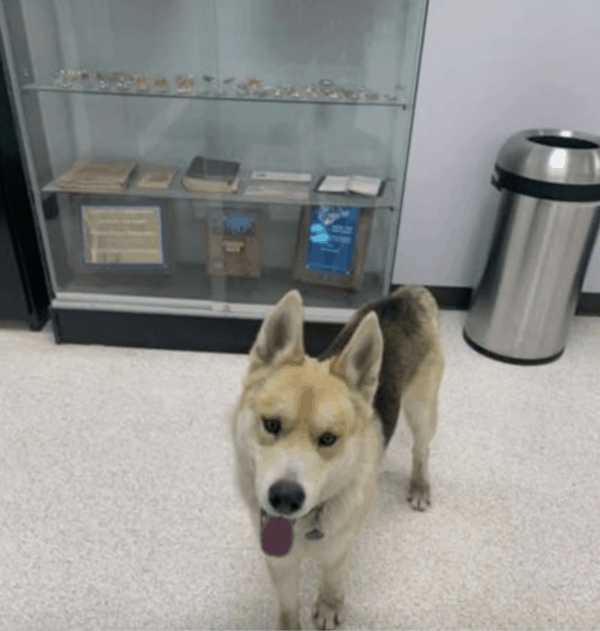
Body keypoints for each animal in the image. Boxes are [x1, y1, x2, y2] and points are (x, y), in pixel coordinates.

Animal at [232, 288, 442, 631]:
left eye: (329, 439)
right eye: (271, 424)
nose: (285, 498)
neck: (305, 523)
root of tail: (405, 295)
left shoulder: (338, 552)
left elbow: (332, 583)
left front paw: (329, 607)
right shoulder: (280, 563)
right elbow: (288, 608)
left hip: (422, 409)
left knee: (421, 450)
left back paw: (420, 485)